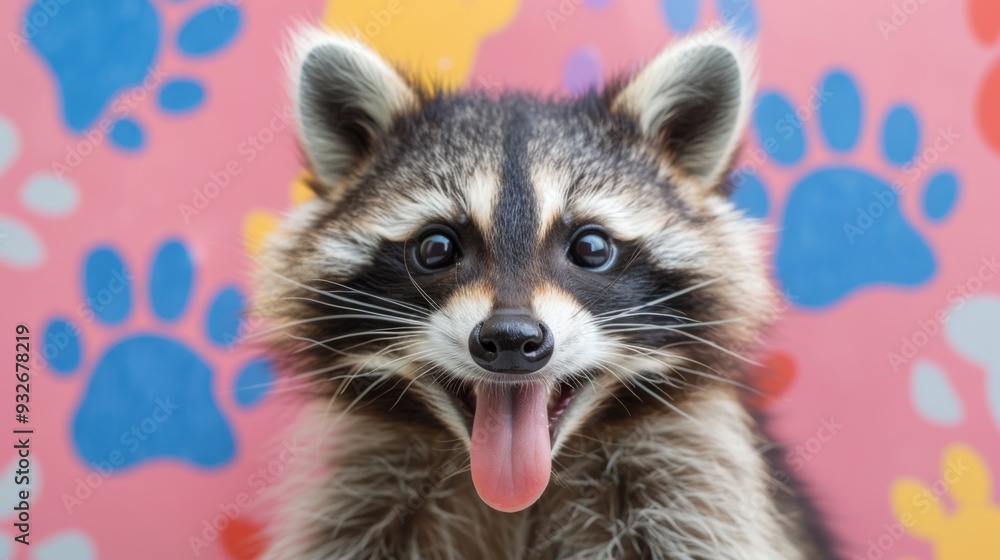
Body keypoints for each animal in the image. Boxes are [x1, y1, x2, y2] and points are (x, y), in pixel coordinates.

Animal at [256, 26, 840, 560]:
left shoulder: (699, 483)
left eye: (591, 247)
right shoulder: (360, 497)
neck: (515, 492)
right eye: (436, 247)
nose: (511, 340)